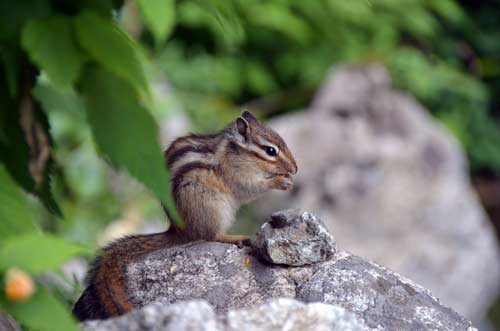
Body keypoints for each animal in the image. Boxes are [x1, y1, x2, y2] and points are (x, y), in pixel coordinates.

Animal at [71, 111, 296, 322]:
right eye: (270, 150)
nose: (295, 168)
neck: (236, 152)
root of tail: (178, 230)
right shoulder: (237, 175)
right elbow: (250, 188)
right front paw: (280, 181)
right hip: (212, 206)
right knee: (210, 235)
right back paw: (235, 237)